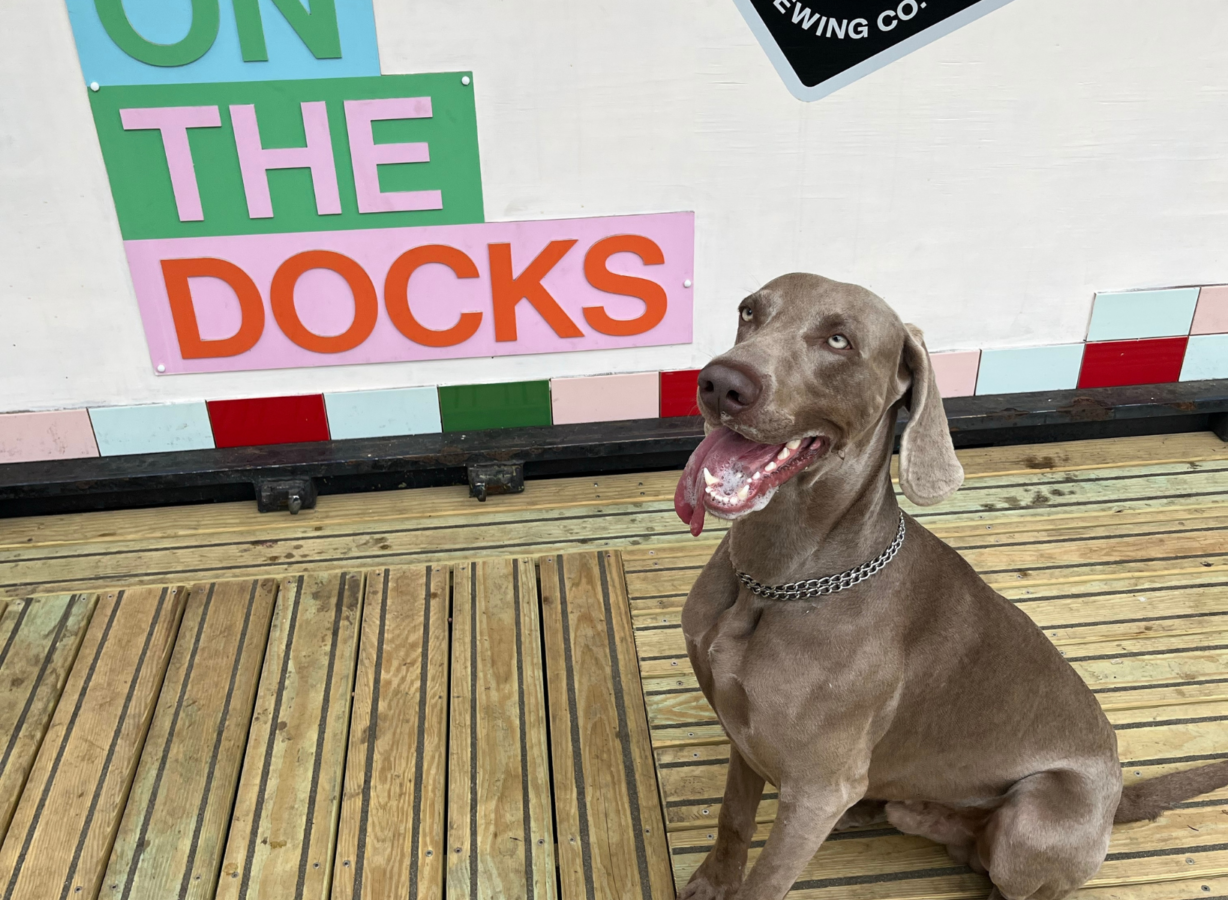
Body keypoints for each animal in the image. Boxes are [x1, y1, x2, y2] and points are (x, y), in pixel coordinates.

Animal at [673, 274, 1228, 900]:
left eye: (839, 340)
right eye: (749, 312)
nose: (721, 383)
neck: (773, 581)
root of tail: (1116, 800)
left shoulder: (817, 792)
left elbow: (766, 880)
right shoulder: (742, 731)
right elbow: (732, 818)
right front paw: (711, 882)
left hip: (1037, 811)